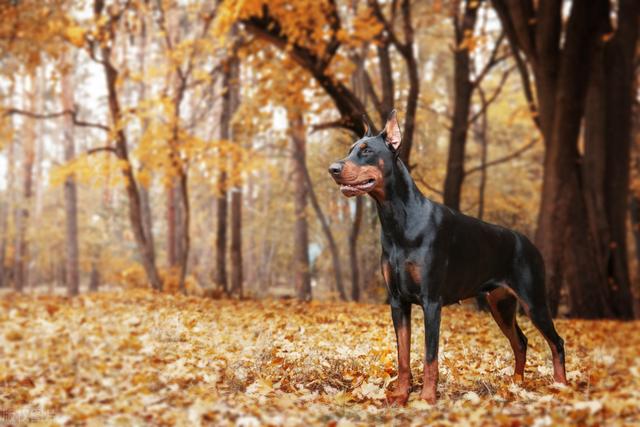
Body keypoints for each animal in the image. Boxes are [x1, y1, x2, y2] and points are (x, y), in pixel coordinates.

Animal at [328, 110, 568, 404]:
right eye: (350, 150)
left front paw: (426, 398)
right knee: (520, 342)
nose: (333, 169)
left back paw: (560, 386)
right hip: (499, 305)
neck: (399, 221)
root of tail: (528, 243)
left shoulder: (432, 302)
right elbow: (403, 355)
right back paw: (515, 385)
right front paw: (401, 395)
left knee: (556, 342)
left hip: (533, 302)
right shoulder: (397, 301)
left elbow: (430, 356)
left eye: (366, 151)